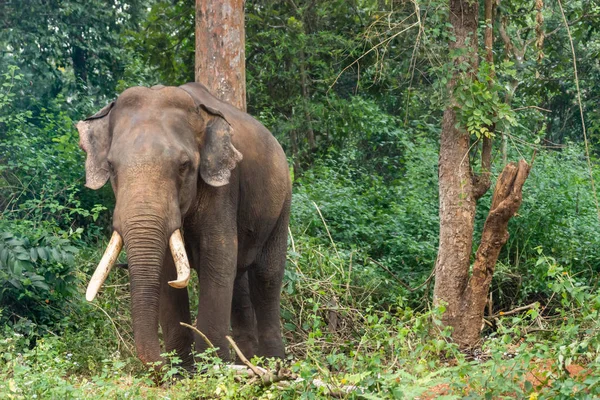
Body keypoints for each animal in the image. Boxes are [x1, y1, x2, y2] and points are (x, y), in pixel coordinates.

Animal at [76, 81, 292, 368]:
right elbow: (168, 270)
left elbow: (218, 258)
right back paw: (247, 360)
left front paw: (212, 369)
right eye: (111, 166)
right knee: (239, 279)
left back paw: (272, 363)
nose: (159, 364)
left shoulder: (223, 187)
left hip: (283, 199)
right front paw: (182, 371)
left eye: (184, 165)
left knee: (266, 276)